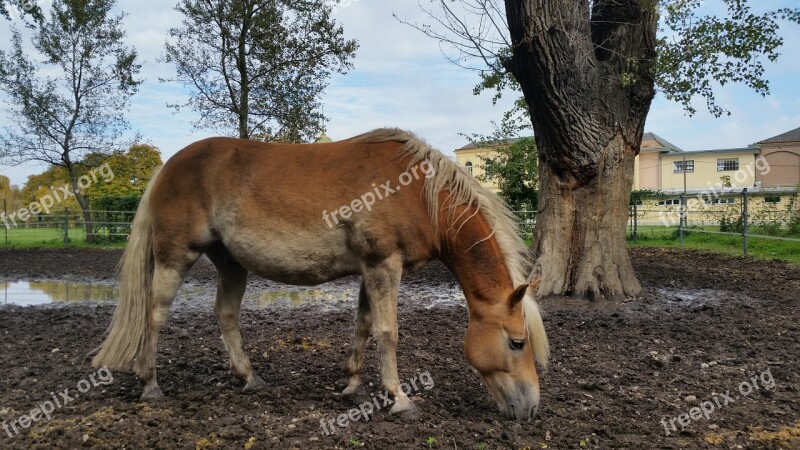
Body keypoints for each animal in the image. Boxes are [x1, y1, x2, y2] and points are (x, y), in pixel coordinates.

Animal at [90, 128, 548, 420]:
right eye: (516, 341)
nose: (531, 408)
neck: (418, 192)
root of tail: (167, 168)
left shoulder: (371, 270)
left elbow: (363, 325)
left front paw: (352, 384)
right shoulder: (384, 265)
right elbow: (388, 332)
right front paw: (399, 399)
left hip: (231, 264)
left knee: (226, 315)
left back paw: (248, 377)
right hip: (175, 257)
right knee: (154, 315)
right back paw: (150, 384)